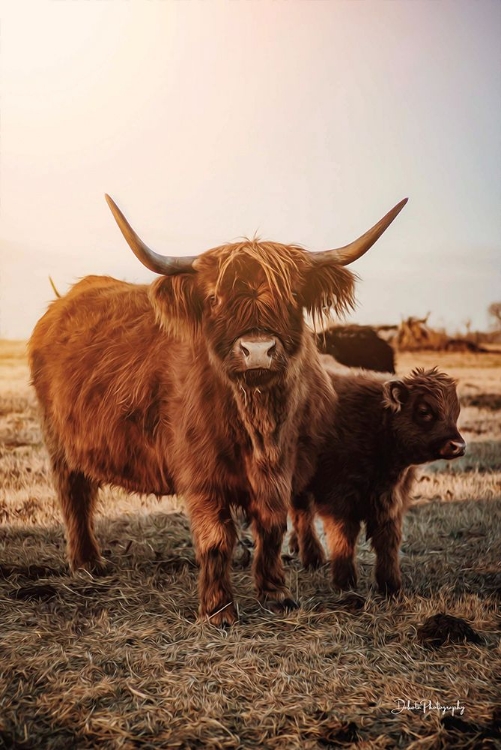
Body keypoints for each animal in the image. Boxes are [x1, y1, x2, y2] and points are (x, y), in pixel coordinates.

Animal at [28, 195, 406, 628]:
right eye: (213, 299)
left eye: (293, 297)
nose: (257, 350)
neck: (260, 423)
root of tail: (64, 301)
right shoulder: (201, 472)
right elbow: (216, 537)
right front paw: (219, 609)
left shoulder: (286, 468)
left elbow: (271, 526)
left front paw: (275, 593)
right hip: (59, 441)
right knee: (74, 494)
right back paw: (88, 563)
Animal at [290, 368, 464, 596]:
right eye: (424, 411)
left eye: (456, 412)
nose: (458, 446)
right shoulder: (338, 500)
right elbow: (343, 537)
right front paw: (345, 582)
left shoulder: (391, 502)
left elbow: (388, 541)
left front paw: (391, 586)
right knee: (303, 516)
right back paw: (312, 558)